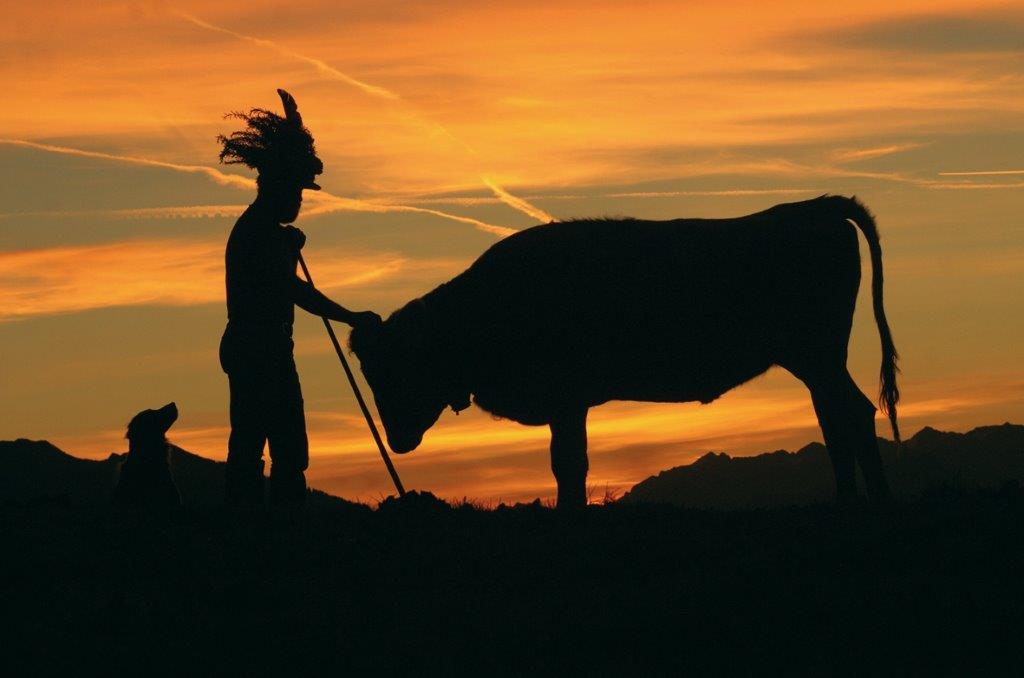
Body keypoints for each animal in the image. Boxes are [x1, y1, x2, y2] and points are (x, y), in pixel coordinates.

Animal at [349, 195, 900, 508]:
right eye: (369, 372)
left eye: (397, 367)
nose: (395, 438)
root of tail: (817, 206)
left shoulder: (567, 400)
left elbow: (569, 466)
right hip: (815, 361)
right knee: (840, 417)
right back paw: (853, 501)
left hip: (818, 356)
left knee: (850, 415)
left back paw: (868, 502)